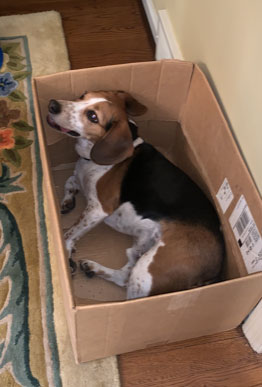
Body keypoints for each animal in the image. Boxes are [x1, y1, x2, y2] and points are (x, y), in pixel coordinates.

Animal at [46, 91, 223, 300]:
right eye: (82, 96)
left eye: (92, 116)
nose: (53, 105)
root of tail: (217, 268)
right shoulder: (80, 180)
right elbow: (70, 181)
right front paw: (67, 202)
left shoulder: (98, 209)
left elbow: (70, 231)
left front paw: (66, 250)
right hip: (142, 244)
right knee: (124, 276)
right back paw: (93, 268)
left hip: (147, 270)